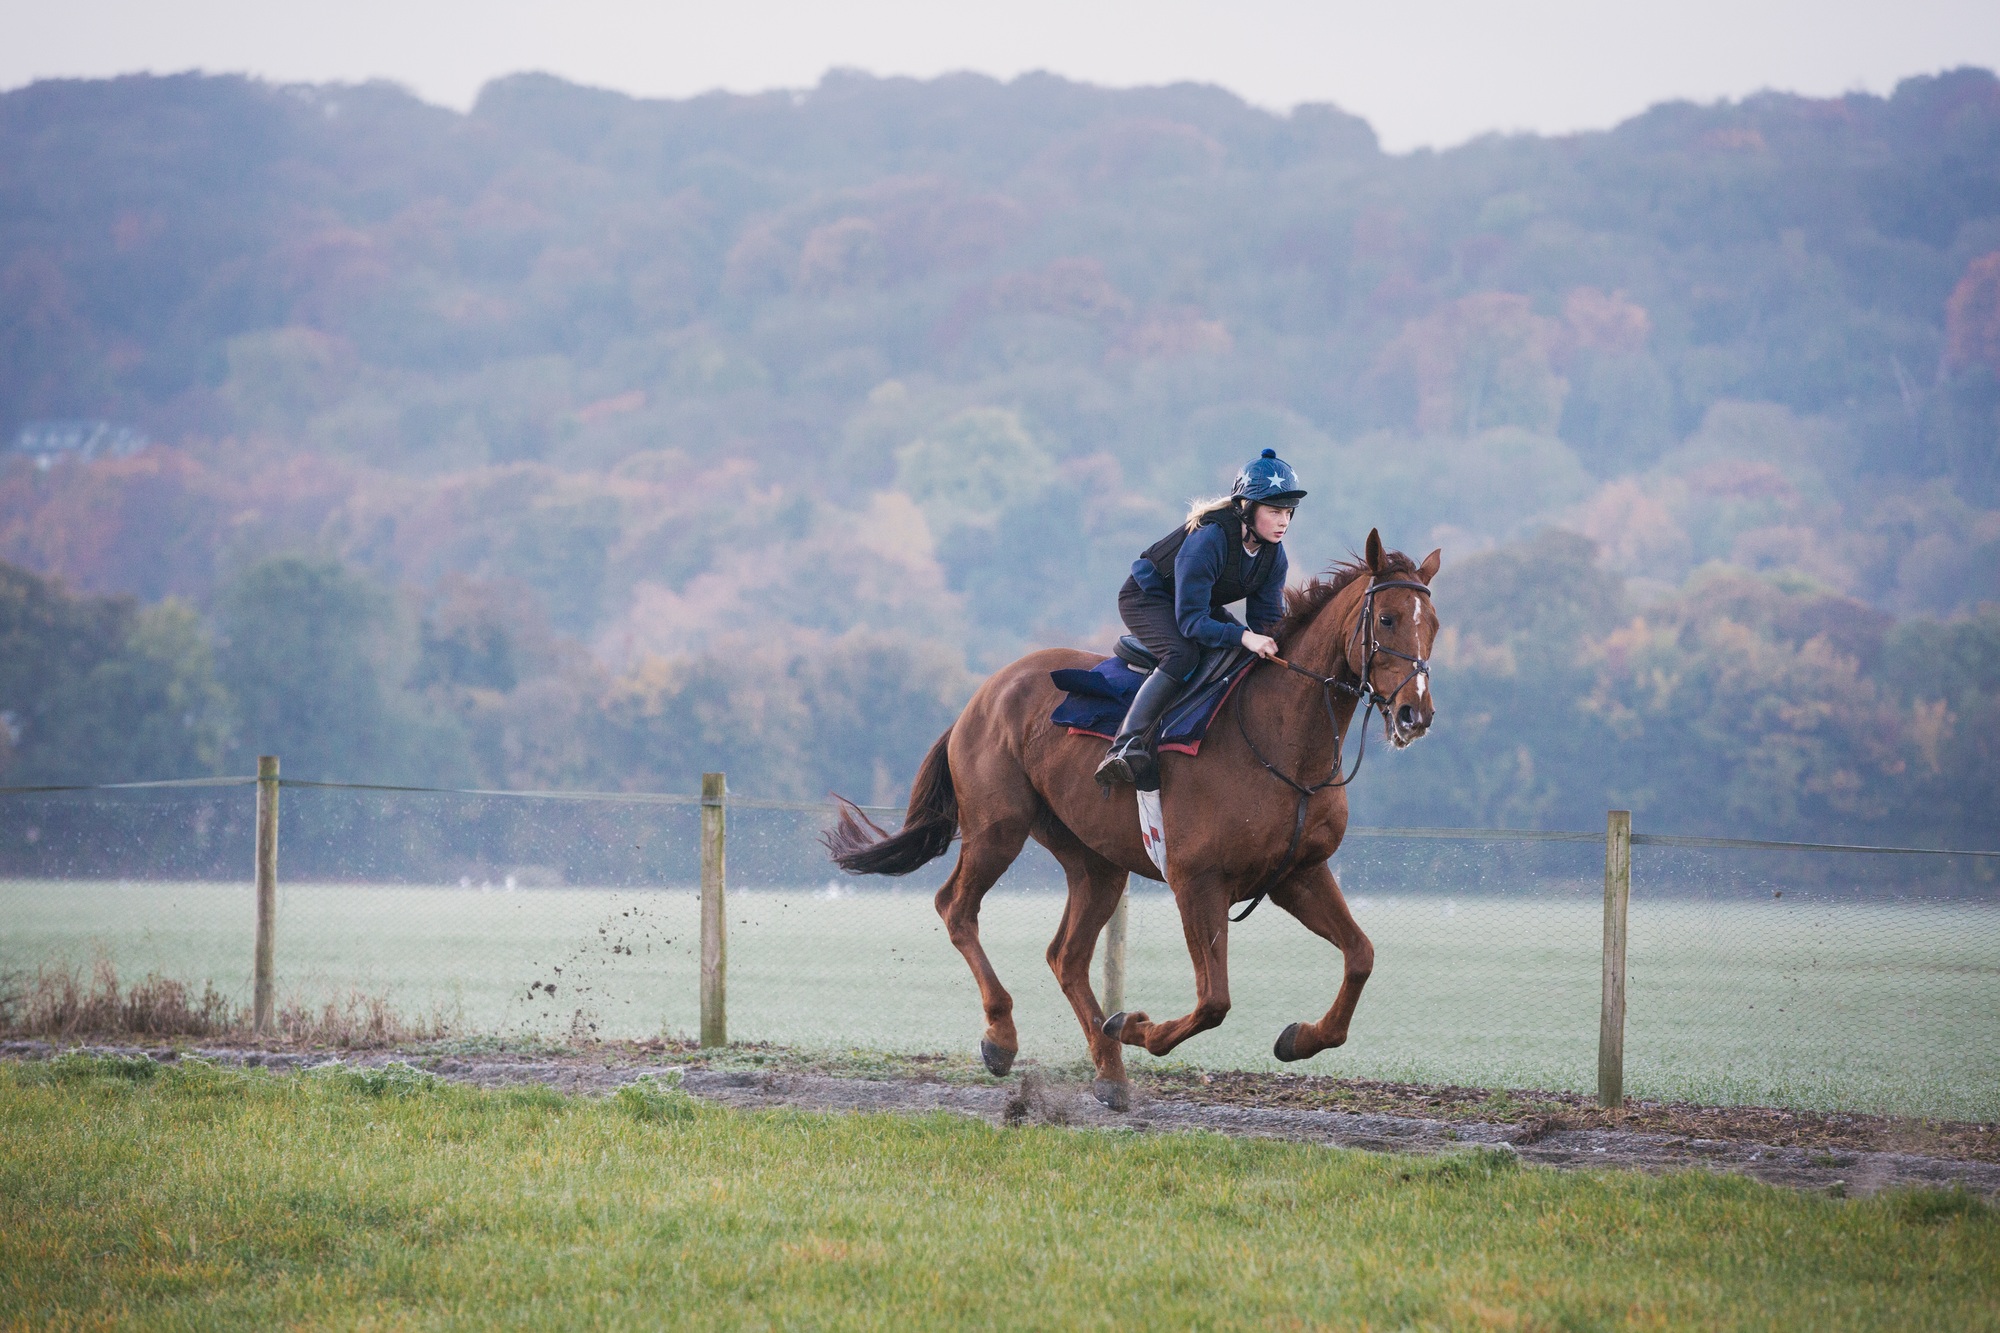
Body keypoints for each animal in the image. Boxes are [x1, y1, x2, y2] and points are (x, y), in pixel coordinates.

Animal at [825, 529, 1442, 1110]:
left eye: (1433, 625)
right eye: (1386, 618)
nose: (1415, 714)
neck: (1283, 743)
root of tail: (979, 698)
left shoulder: (1297, 873)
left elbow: (1360, 956)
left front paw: (1299, 1038)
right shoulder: (1196, 879)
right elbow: (1214, 1001)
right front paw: (1135, 1026)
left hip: (1095, 860)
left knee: (1066, 956)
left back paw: (1109, 1072)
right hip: (998, 829)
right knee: (957, 908)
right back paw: (1003, 1037)